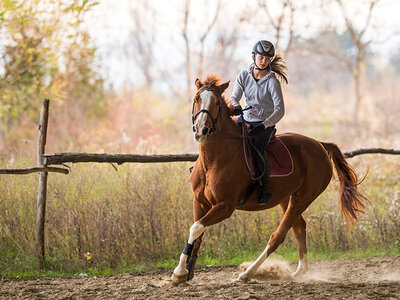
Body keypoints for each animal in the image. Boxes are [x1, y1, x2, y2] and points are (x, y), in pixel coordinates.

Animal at [170, 75, 368, 284]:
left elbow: (196, 227)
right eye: (196, 99)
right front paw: (184, 271)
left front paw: (179, 272)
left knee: (279, 235)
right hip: (286, 198)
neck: (214, 159)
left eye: (217, 103)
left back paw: (248, 273)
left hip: (303, 198)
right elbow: (197, 232)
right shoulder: (200, 201)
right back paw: (299, 272)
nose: (202, 129)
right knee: (299, 227)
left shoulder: (225, 206)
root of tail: (320, 144)